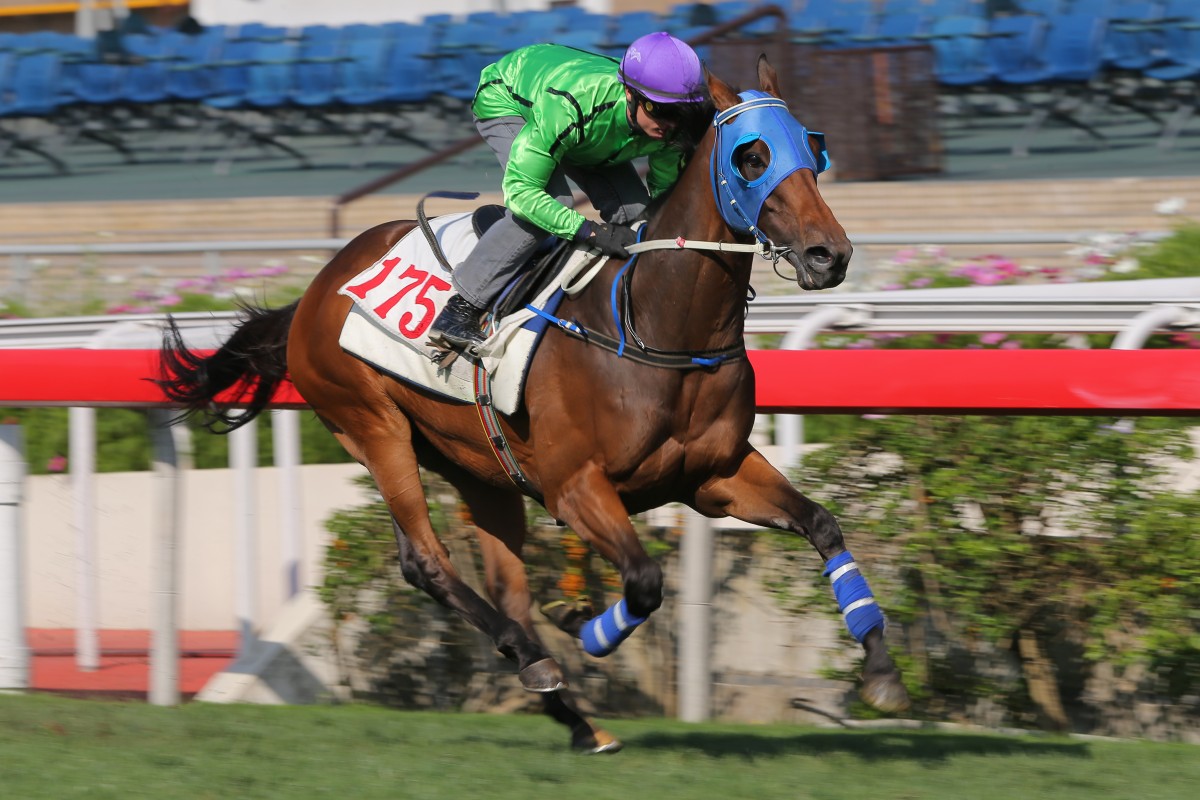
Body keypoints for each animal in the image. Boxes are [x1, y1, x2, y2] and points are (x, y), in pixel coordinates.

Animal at [159, 57, 907, 753]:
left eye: (813, 148)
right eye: (751, 157)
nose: (829, 254)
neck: (655, 326)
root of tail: (315, 289)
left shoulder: (712, 476)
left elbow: (823, 525)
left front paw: (880, 672)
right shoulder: (575, 487)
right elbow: (644, 581)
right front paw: (582, 624)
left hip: (478, 469)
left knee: (501, 583)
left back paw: (573, 717)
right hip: (373, 427)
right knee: (426, 560)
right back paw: (536, 660)